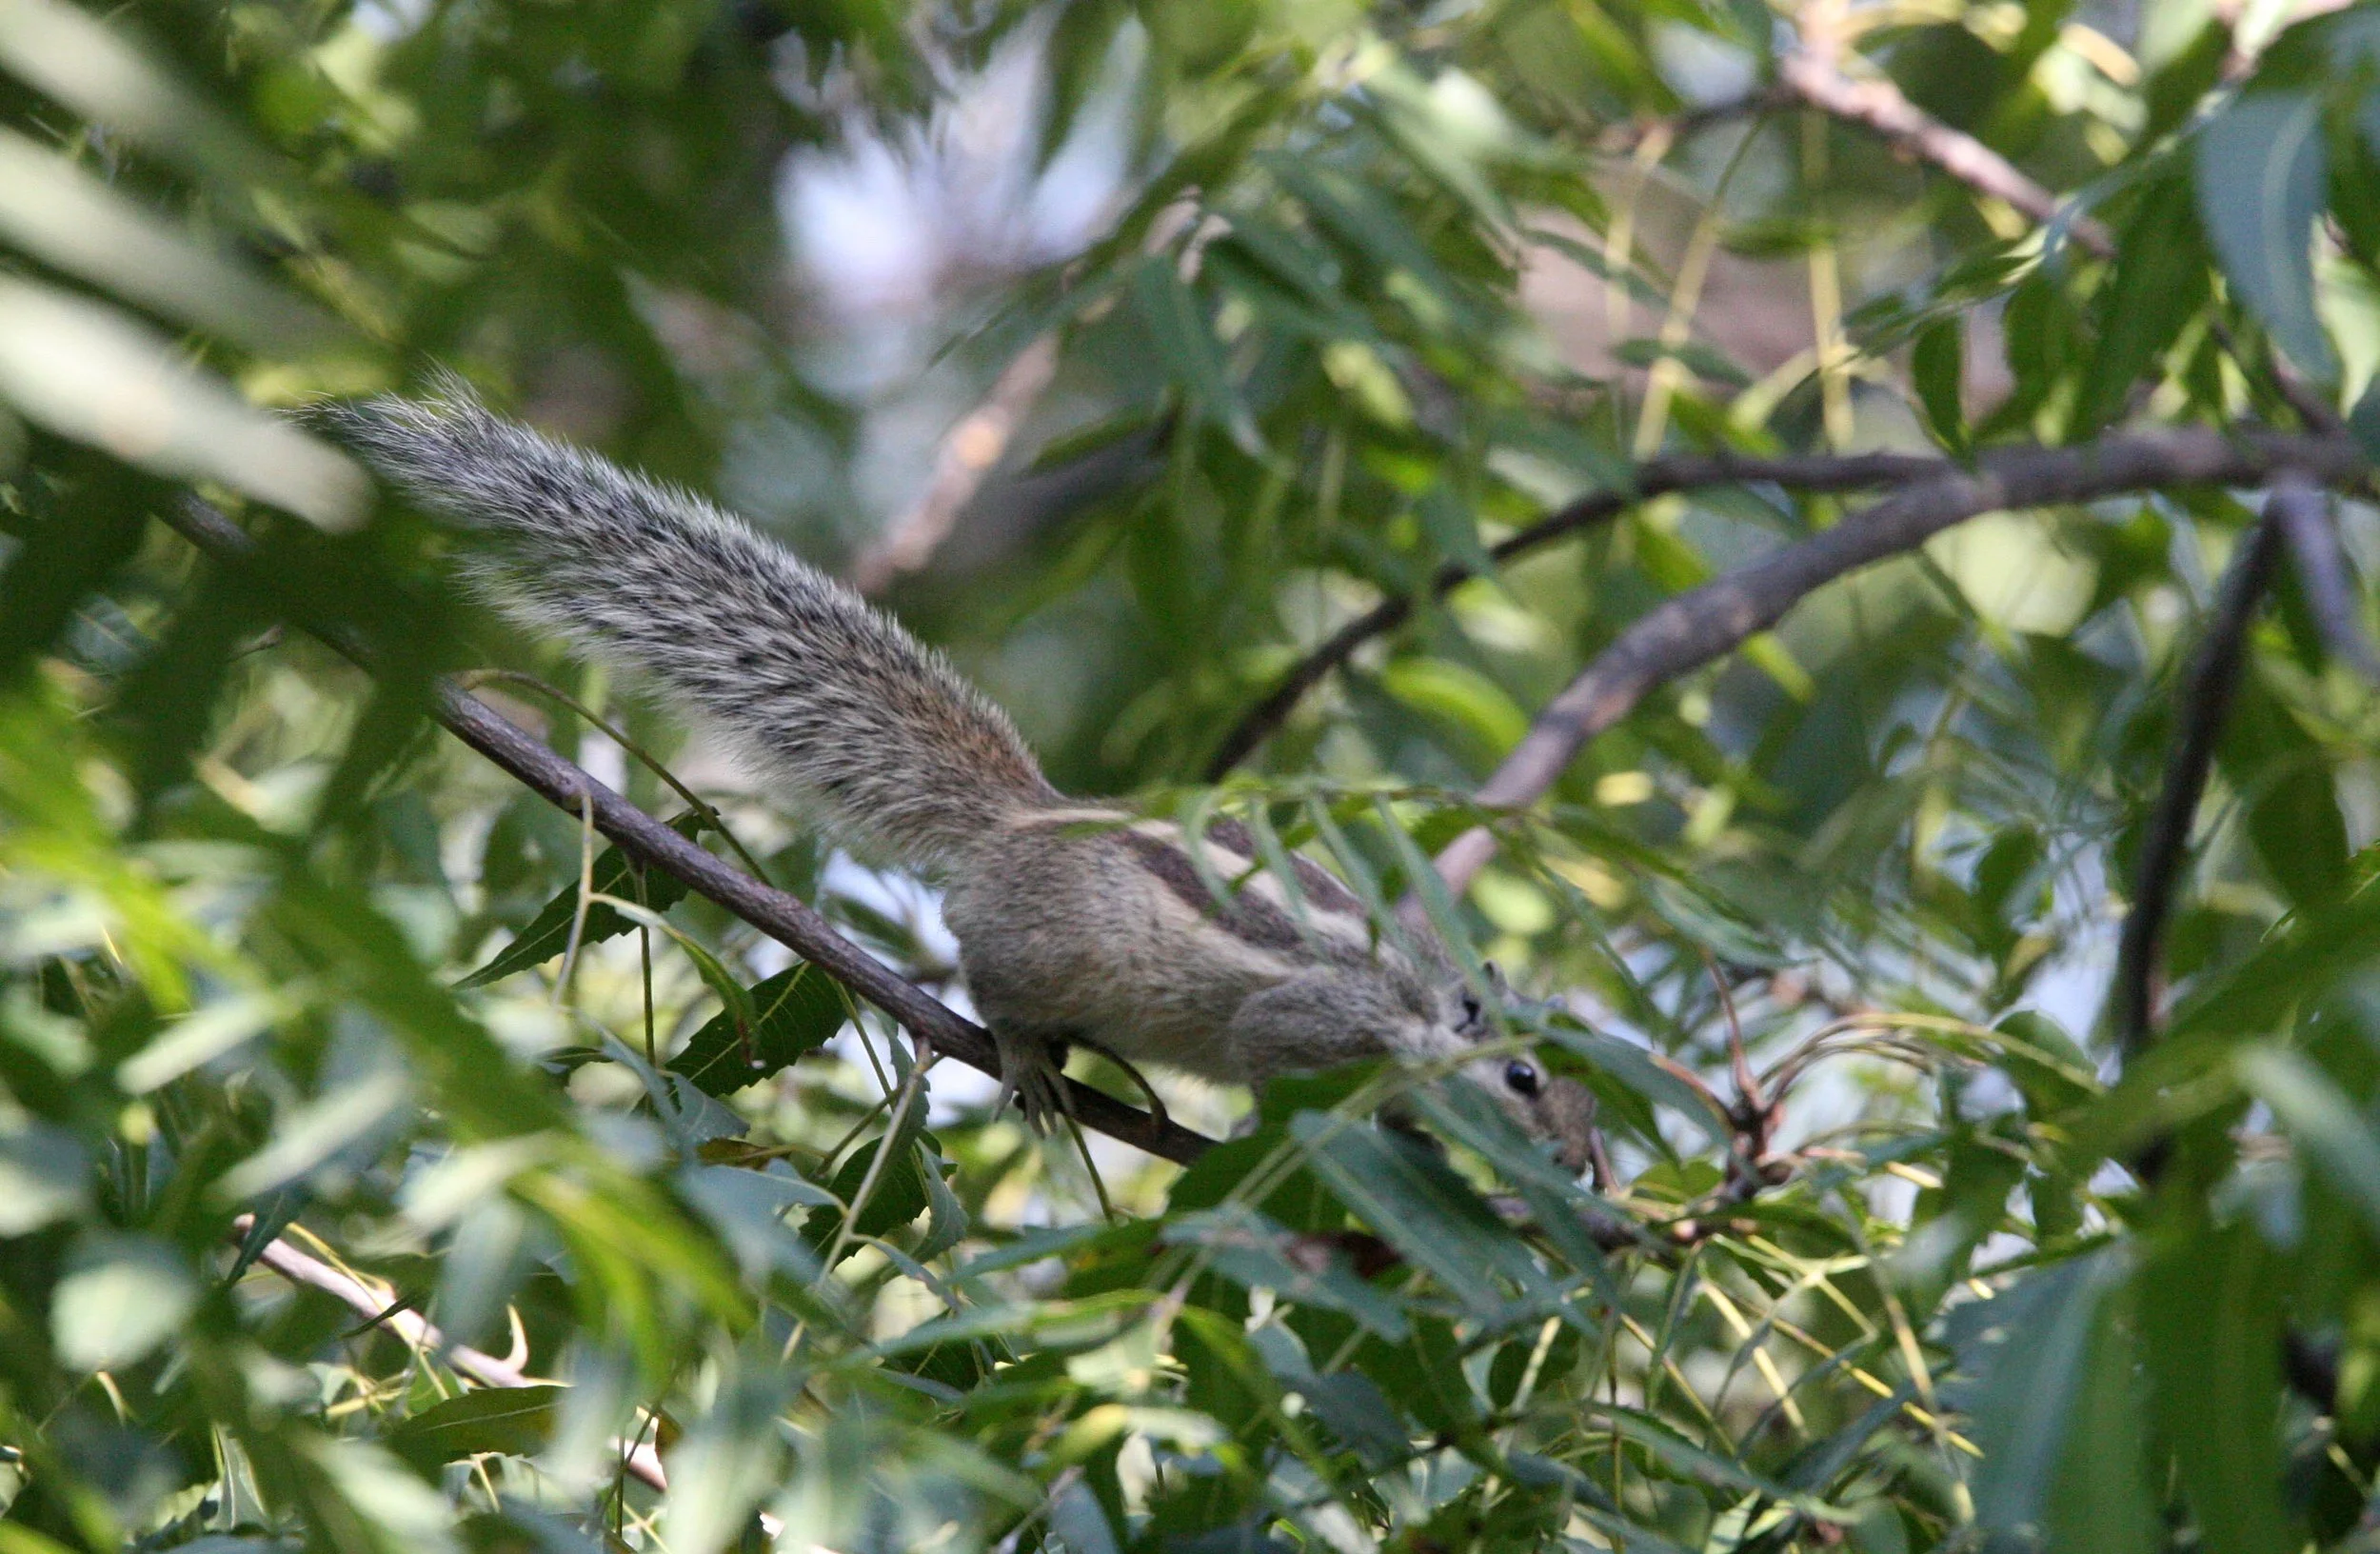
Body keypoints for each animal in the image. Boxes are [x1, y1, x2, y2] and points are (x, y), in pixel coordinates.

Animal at [314, 379, 1599, 1174]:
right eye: (1524, 1077)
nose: (1586, 1170)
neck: (1419, 1009)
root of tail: (1024, 817)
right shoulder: (1315, 1023)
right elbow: (1271, 1061)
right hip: (1048, 948)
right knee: (991, 975)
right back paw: (1026, 1056)